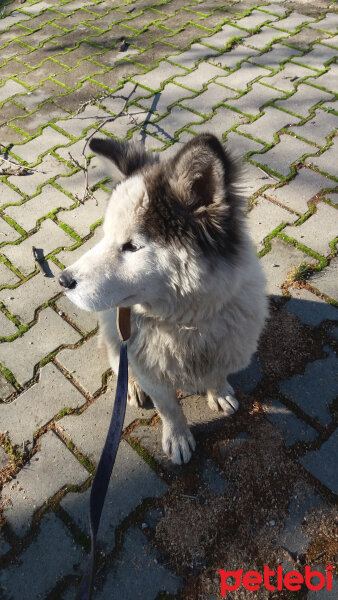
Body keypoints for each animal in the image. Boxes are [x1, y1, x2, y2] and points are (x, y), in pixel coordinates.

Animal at [59, 135, 268, 464]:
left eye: (132, 246)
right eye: (105, 236)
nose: (63, 280)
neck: (184, 324)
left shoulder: (227, 349)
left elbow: (217, 374)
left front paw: (219, 392)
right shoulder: (152, 375)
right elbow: (169, 407)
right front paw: (178, 437)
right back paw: (130, 386)